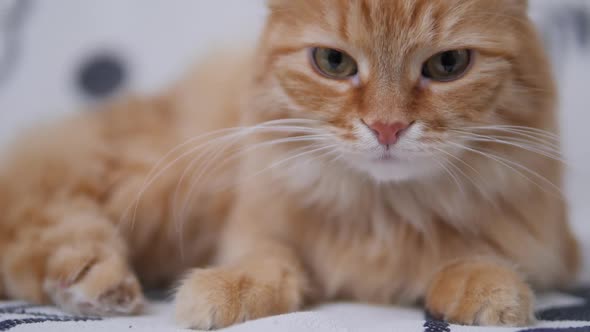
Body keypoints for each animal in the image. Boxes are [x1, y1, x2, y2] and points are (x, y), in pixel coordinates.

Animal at [0, 0, 580, 330]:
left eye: (448, 65)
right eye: (334, 63)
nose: (386, 128)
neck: (383, 212)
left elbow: (471, 256)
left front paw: (489, 291)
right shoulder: (254, 225)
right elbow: (269, 262)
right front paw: (221, 292)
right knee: (34, 224)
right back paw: (99, 287)